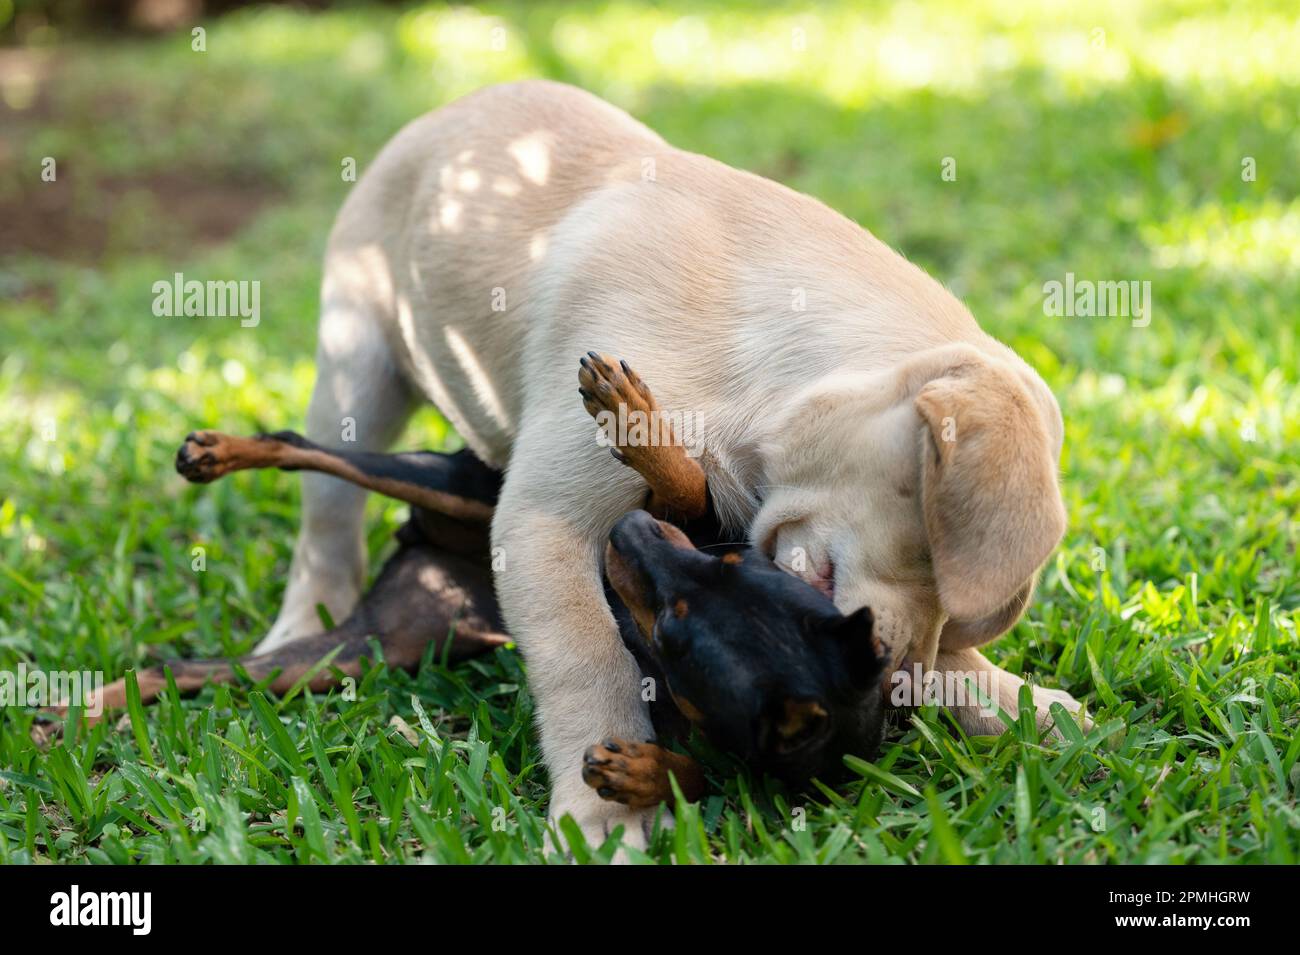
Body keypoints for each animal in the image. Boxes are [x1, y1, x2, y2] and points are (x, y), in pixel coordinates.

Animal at [258, 80, 1081, 841]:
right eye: (931, 550)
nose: (896, 684)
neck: (767, 367)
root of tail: (461, 103)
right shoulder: (545, 522)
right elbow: (587, 659)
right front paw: (599, 817)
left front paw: (1014, 701)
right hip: (355, 366)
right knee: (327, 513)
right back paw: (304, 616)